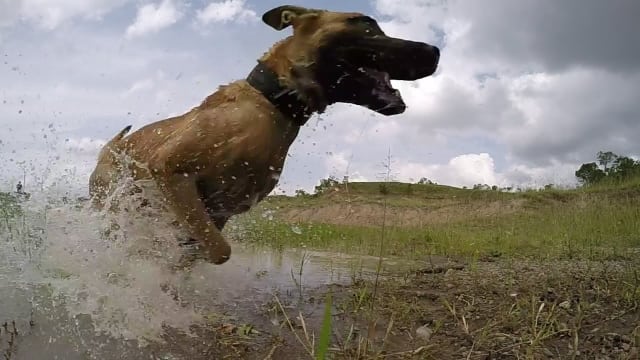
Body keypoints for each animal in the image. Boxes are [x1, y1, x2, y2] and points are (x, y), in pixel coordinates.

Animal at [89, 4, 440, 264]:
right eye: (366, 24)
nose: (435, 50)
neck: (273, 103)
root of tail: (110, 148)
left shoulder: (219, 212)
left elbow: (202, 249)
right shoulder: (172, 170)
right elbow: (219, 251)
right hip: (109, 203)